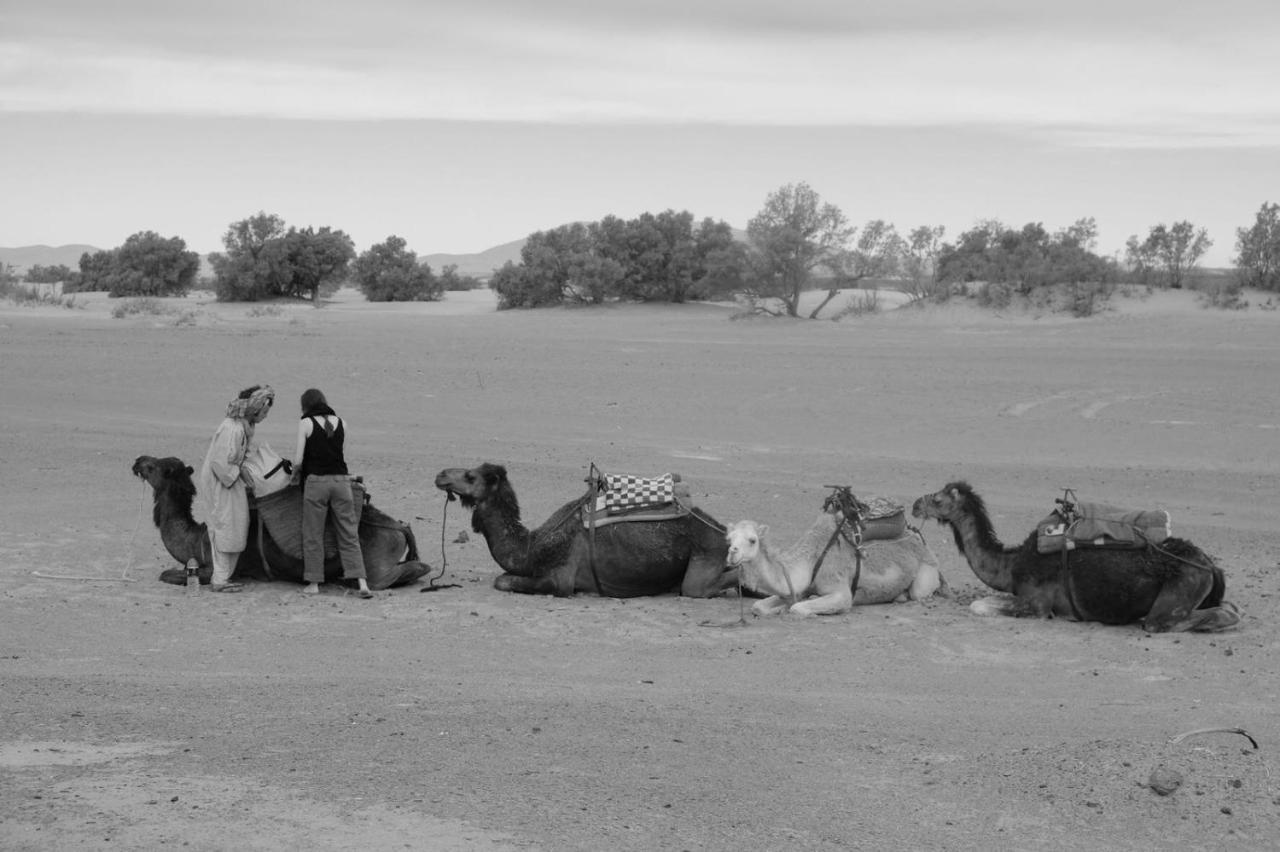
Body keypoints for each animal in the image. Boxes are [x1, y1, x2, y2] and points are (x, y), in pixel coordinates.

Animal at [134, 455, 432, 588]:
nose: (137, 461)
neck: (197, 539)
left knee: (401, 572)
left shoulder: (219, 568)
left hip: (377, 563)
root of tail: (399, 528)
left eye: (154, 467)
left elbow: (168, 575)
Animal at [435, 460, 737, 593]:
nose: (440, 475)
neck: (531, 546)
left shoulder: (560, 578)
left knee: (702, 586)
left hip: (706, 551)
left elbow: (503, 580)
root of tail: (722, 530)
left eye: (470, 476)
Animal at [727, 498, 947, 616]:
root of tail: (921, 542)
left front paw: (790, 608)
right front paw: (778, 608)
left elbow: (798, 608)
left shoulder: (840, 591)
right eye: (728, 539)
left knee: (919, 593)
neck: (811, 560)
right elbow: (758, 606)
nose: (732, 553)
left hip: (926, 573)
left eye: (752, 540)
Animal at [911, 478, 1239, 629]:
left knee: (1177, 619)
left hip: (1178, 593)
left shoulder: (1037, 603)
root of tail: (1211, 566)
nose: (915, 504)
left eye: (938, 499)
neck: (1011, 565)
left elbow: (978, 605)